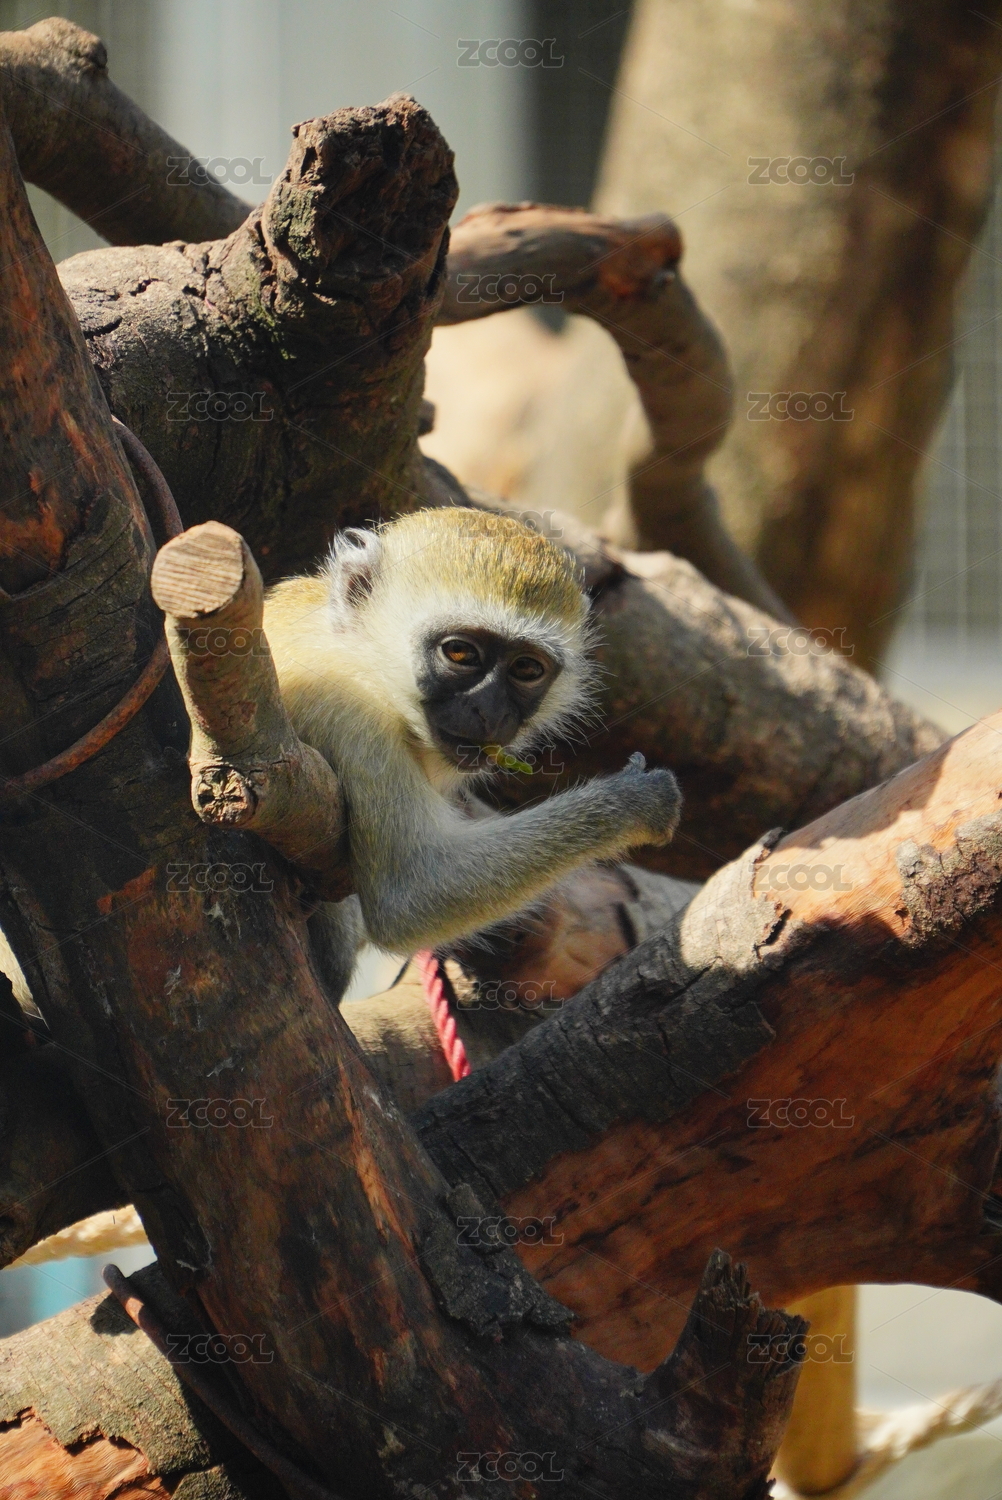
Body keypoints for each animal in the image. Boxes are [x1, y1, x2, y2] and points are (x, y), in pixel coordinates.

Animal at [262, 507, 681, 999]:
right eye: (460, 652)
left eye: (526, 669)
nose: (490, 712)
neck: (356, 652)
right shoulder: (345, 705)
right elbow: (411, 890)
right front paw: (632, 802)